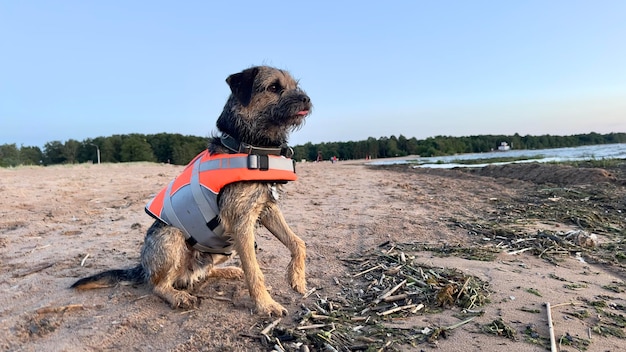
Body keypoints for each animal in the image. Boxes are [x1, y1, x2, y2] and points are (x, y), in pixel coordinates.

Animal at [71, 66, 312, 316]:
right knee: (157, 285)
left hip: (223, 249)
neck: (253, 147)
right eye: (274, 87)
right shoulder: (240, 223)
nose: (307, 99)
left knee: (203, 272)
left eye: (295, 85)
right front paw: (266, 304)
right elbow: (254, 270)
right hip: (172, 236)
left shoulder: (267, 209)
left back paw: (229, 271)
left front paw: (297, 278)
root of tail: (142, 267)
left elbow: (297, 242)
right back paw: (178, 296)